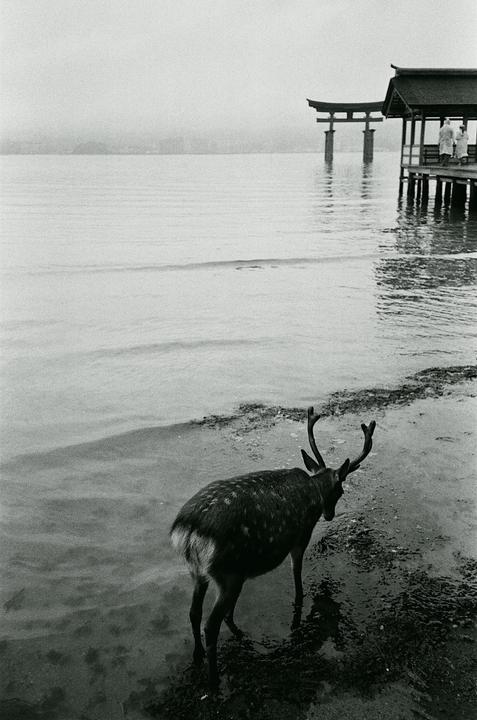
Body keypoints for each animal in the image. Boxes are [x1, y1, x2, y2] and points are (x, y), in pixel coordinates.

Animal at [170, 407, 376, 692]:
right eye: (341, 490)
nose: (329, 515)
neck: (315, 490)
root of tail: (188, 530)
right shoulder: (300, 536)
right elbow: (297, 576)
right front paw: (300, 601)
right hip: (228, 571)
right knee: (210, 625)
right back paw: (213, 682)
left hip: (200, 571)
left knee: (193, 612)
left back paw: (198, 655)